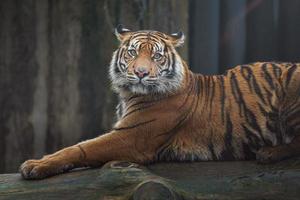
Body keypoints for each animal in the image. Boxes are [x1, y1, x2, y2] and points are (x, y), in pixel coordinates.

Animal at [20, 25, 300, 180]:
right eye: (133, 52)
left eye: (156, 56)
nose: (141, 73)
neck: (129, 95)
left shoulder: (132, 137)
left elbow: (82, 148)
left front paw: (35, 165)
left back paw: (268, 153)